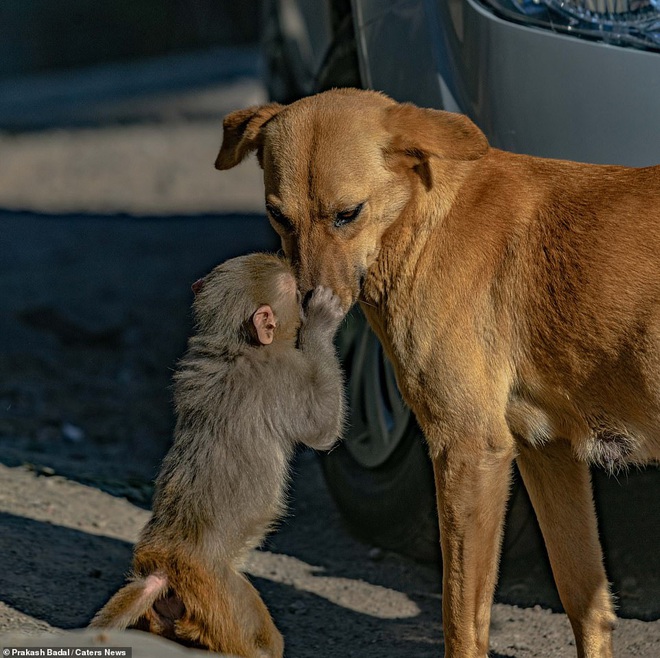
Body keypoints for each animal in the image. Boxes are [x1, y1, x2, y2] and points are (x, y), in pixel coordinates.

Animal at [91, 254, 346, 656]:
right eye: (296, 296)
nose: (306, 295)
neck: (234, 346)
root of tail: (162, 567)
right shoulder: (282, 374)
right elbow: (322, 428)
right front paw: (322, 321)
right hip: (223, 596)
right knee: (262, 639)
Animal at [215, 88, 660, 656]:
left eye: (347, 214)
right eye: (277, 216)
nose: (305, 312)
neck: (423, 221)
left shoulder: (469, 449)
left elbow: (462, 618)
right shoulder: (548, 452)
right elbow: (585, 601)